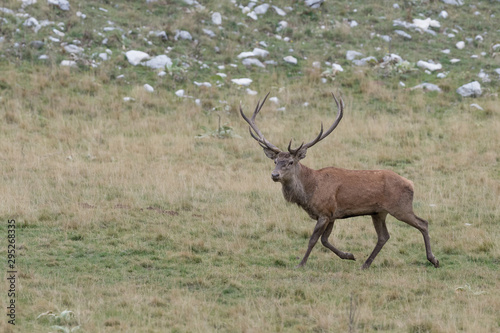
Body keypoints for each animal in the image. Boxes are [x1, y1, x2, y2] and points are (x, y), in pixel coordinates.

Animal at [240, 92, 440, 268]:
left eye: (290, 162)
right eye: (275, 161)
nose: (274, 175)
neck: (309, 191)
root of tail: (411, 183)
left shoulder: (325, 212)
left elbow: (314, 239)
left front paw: (301, 263)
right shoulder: (332, 215)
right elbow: (325, 240)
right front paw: (349, 255)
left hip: (400, 206)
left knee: (423, 223)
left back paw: (433, 259)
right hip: (378, 212)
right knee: (384, 236)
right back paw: (366, 264)